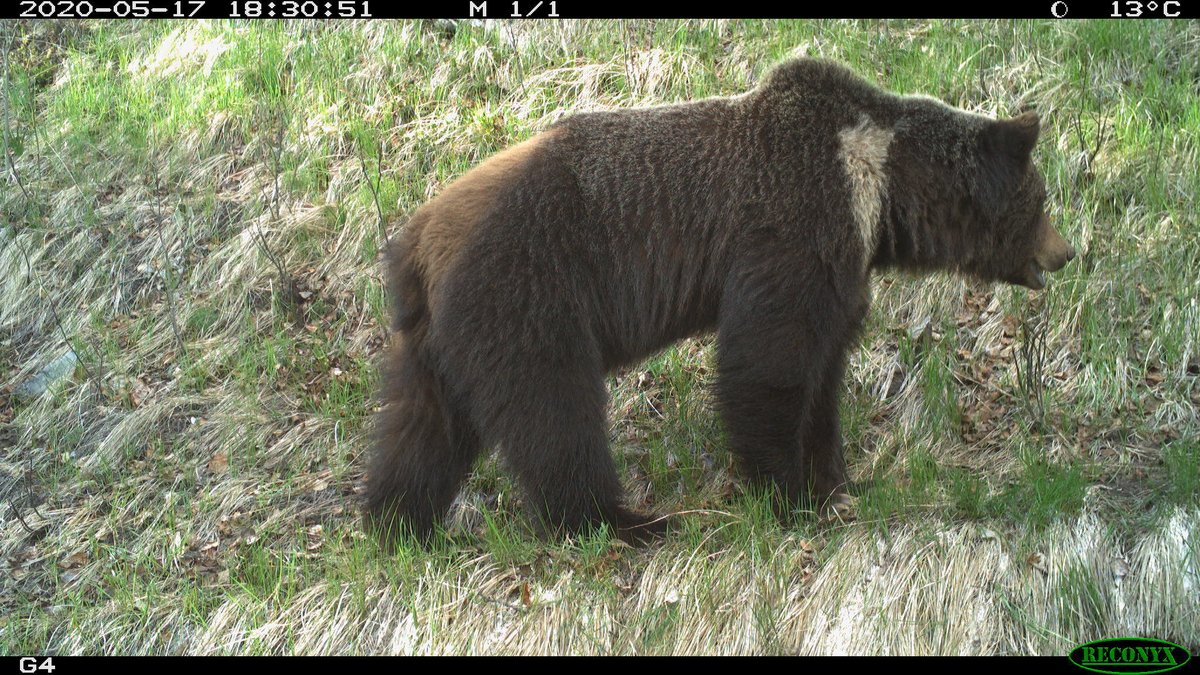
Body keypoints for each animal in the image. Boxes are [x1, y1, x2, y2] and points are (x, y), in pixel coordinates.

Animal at [364, 57, 1076, 544]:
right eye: (1042, 199)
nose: (1065, 252)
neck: (878, 189)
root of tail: (414, 242)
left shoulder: (842, 265)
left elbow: (824, 370)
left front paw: (836, 479)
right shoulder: (795, 226)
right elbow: (767, 361)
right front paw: (787, 494)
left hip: (439, 336)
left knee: (421, 426)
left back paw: (397, 523)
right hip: (526, 293)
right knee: (554, 412)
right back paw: (623, 521)